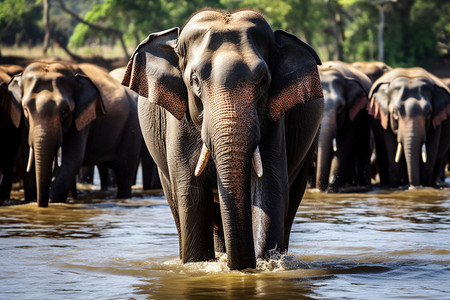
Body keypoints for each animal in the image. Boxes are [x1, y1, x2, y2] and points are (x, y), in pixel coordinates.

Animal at [7, 59, 142, 207]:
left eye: (65, 110)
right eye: (25, 108)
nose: (41, 205)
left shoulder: (83, 119)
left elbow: (71, 159)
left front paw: (52, 202)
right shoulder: (23, 122)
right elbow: (28, 157)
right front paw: (32, 200)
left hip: (132, 129)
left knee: (124, 171)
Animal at [121, 9, 326, 270]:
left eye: (263, 81)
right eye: (194, 80)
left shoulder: (272, 119)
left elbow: (269, 188)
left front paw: (265, 263)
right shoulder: (179, 119)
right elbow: (191, 192)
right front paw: (198, 265)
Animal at [312, 61, 372, 192]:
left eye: (340, 107)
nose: (321, 188)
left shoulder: (351, 114)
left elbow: (343, 144)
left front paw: (331, 189)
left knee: (362, 151)